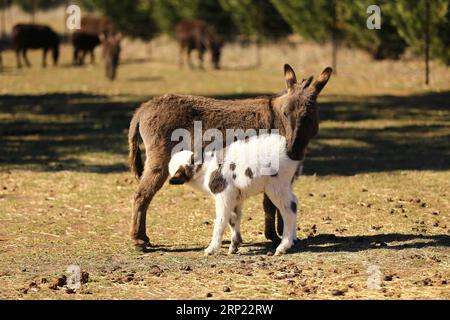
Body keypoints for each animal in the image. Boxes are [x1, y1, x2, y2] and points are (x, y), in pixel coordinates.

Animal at [128, 64, 332, 250]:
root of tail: (143, 108)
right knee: (142, 194)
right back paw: (139, 241)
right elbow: (270, 204)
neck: (278, 120)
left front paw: (283, 235)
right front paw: (276, 237)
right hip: (160, 161)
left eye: (308, 117)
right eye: (285, 114)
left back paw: (143, 238)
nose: (292, 149)